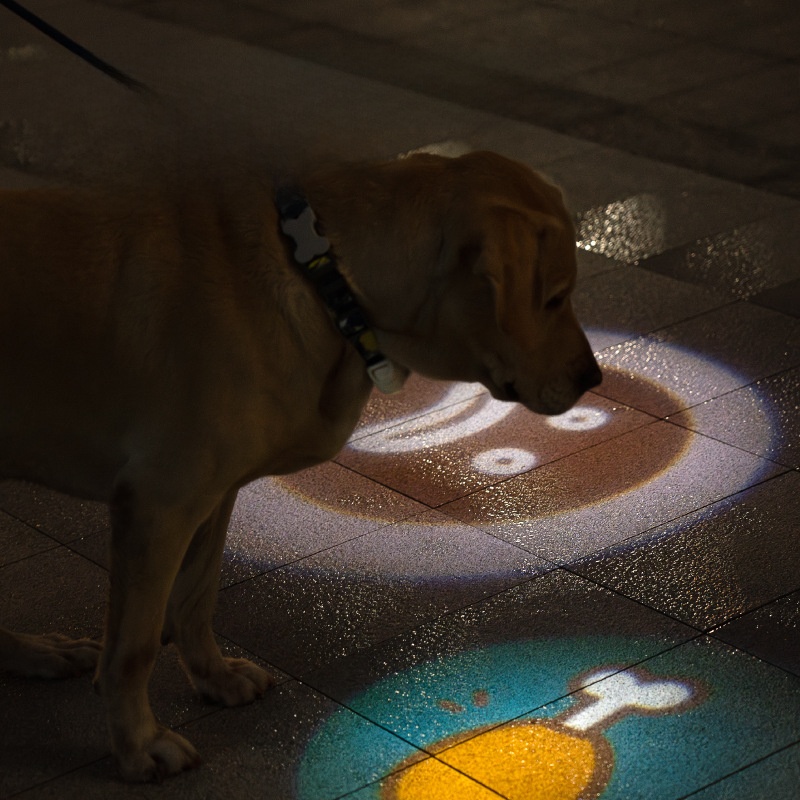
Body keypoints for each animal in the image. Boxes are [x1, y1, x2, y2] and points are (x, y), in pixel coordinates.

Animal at [0, 152, 600, 780]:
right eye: (553, 298)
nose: (593, 378)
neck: (325, 272)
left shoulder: (210, 496)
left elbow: (196, 595)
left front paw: (212, 676)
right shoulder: (160, 504)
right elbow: (134, 646)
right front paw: (138, 743)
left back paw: (36, 652)